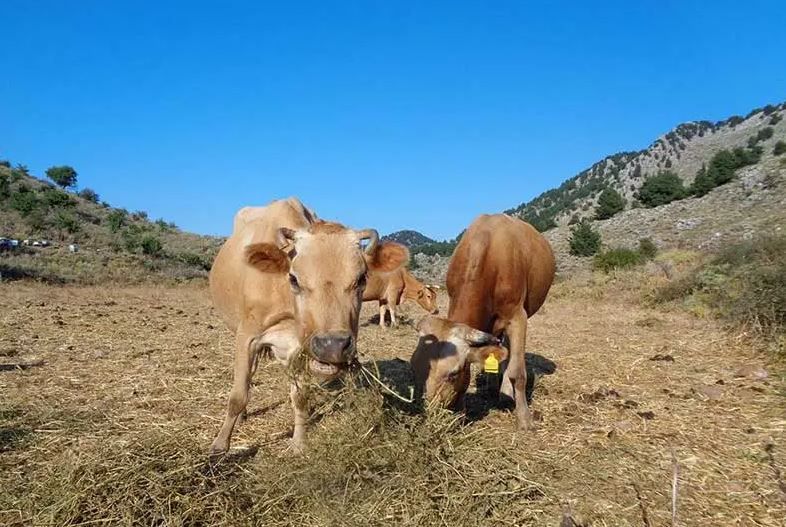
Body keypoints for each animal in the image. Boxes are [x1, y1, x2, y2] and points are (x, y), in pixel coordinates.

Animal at [208, 198, 408, 454]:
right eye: (294, 278)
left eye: (362, 278)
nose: (333, 346)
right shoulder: (247, 337)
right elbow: (238, 396)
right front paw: (220, 445)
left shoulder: (300, 348)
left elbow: (301, 398)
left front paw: (299, 443)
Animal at [408, 214, 556, 434]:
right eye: (414, 368)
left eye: (453, 374)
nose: (431, 414)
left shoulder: (517, 316)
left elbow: (518, 372)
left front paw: (524, 419)